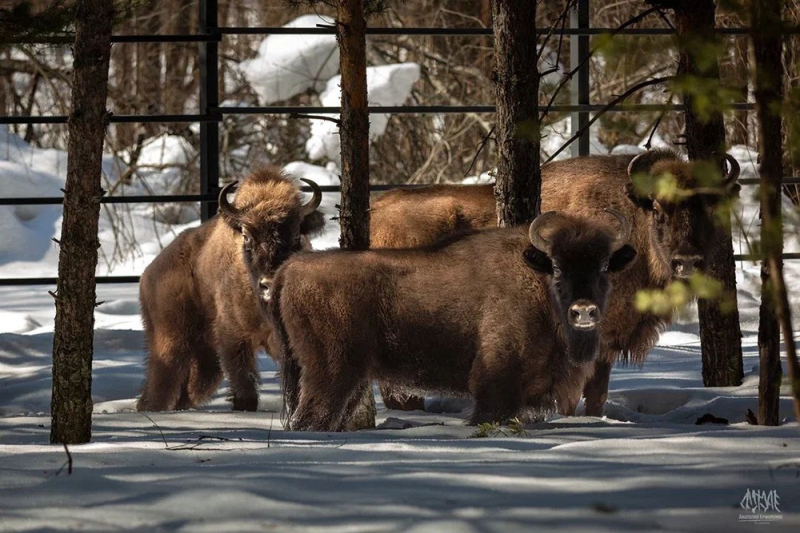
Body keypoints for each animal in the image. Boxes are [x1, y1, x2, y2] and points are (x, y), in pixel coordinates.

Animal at [136, 166, 324, 412]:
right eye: (246, 236)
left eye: (295, 234)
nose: (269, 283)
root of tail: (148, 274)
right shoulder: (233, 339)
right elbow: (244, 388)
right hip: (171, 340)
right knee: (160, 384)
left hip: (206, 358)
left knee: (190, 390)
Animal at [274, 208, 636, 428]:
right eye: (558, 267)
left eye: (605, 265)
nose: (584, 311)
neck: (537, 280)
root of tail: (292, 267)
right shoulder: (497, 385)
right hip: (330, 372)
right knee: (310, 419)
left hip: (350, 377)